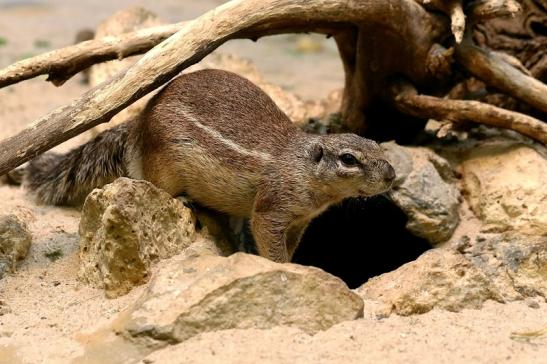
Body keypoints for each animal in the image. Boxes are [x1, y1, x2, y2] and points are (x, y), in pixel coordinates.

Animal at [19, 69, 396, 262]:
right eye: (348, 159)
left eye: (377, 145)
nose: (391, 175)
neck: (301, 166)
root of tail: (137, 124)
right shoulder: (272, 209)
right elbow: (268, 242)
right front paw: (282, 269)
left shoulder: (300, 221)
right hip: (163, 166)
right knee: (154, 187)